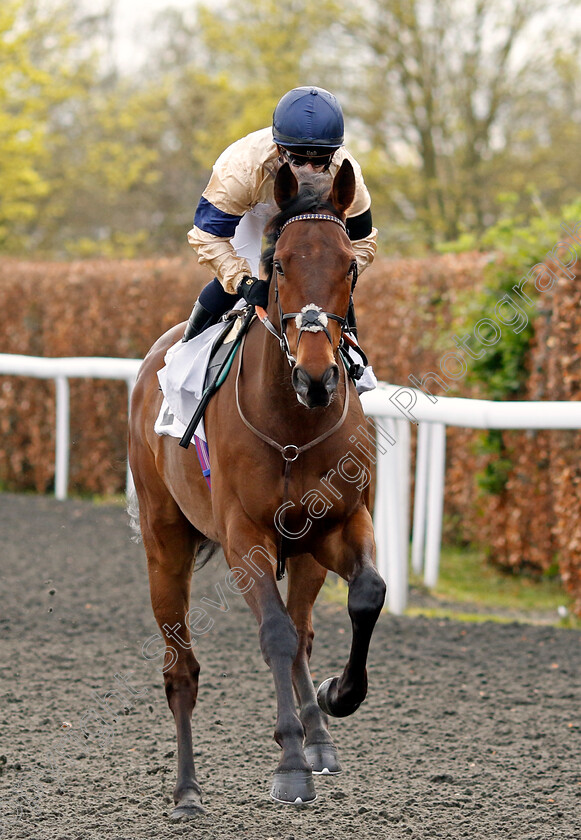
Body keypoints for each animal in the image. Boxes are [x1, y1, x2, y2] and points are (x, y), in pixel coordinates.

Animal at [129, 159, 388, 820]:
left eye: (349, 265)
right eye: (282, 265)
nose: (319, 376)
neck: (293, 423)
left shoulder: (340, 524)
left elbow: (367, 596)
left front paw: (337, 695)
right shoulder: (245, 538)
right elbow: (272, 635)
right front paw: (290, 766)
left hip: (305, 555)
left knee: (303, 629)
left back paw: (319, 735)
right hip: (165, 545)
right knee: (182, 669)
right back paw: (187, 790)